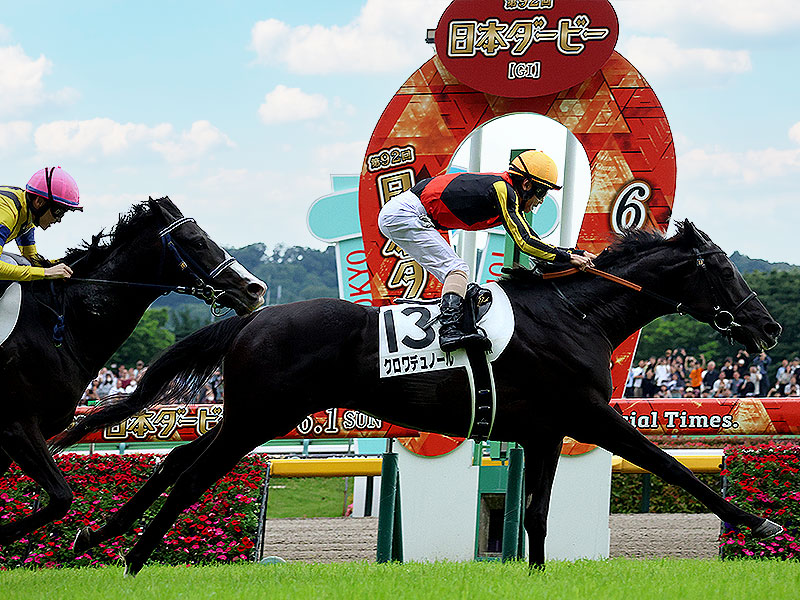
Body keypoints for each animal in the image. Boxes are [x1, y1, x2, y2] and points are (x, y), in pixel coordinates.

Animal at [0, 196, 267, 547]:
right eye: (197, 241)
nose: (255, 288)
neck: (60, 323)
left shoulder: (28, 430)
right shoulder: (17, 424)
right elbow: (61, 498)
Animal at [52, 220, 783, 576]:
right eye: (724, 270)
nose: (769, 327)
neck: (577, 314)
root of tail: (254, 318)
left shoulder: (547, 431)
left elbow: (537, 514)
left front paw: (537, 575)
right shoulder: (589, 413)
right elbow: (669, 466)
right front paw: (759, 524)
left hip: (254, 413)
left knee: (179, 460)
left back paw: (101, 533)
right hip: (259, 418)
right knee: (192, 477)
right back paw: (132, 558)